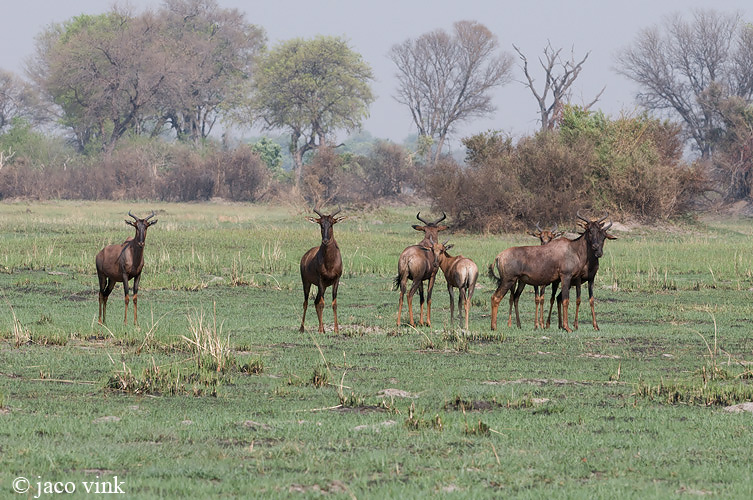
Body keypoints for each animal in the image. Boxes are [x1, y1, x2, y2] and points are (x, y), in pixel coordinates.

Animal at [300, 208, 346, 336]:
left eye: (331, 224)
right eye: (320, 224)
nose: (325, 241)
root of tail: (305, 256)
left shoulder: (336, 280)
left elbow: (334, 303)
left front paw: (336, 330)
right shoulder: (320, 280)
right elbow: (321, 304)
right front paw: (320, 330)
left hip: (324, 287)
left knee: (316, 301)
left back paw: (324, 329)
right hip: (307, 283)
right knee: (306, 303)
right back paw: (302, 329)